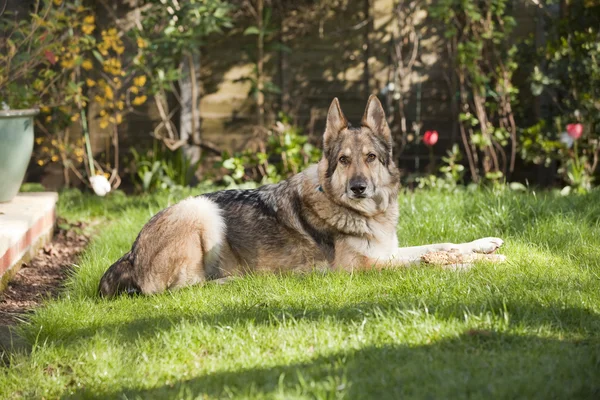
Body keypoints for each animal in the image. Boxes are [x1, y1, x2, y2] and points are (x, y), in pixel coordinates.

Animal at [99, 96, 506, 296]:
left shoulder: (387, 250)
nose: (358, 187)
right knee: (177, 290)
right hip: (201, 209)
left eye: (370, 158)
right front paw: (469, 266)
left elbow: (441, 245)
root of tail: (130, 254)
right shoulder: (364, 267)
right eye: (343, 160)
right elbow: (425, 263)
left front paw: (483, 247)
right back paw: (242, 281)